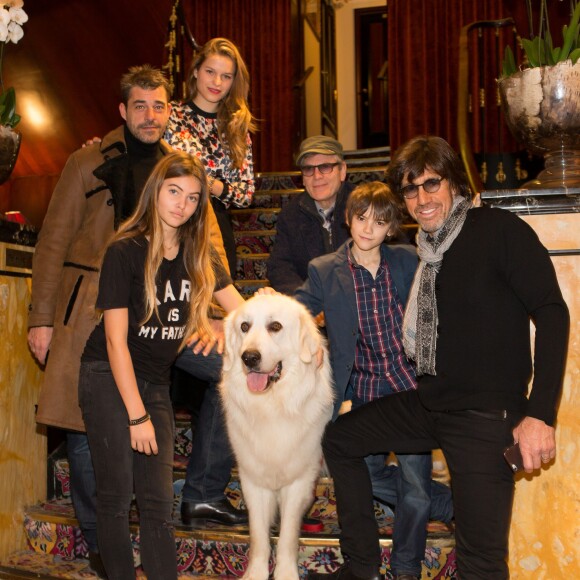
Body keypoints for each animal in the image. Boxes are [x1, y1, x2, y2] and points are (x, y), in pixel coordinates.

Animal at [220, 294, 334, 580]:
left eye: (275, 327)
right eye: (244, 327)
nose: (249, 357)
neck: (272, 406)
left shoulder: (299, 480)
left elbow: (287, 537)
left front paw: (285, 573)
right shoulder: (253, 479)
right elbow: (259, 536)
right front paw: (256, 573)